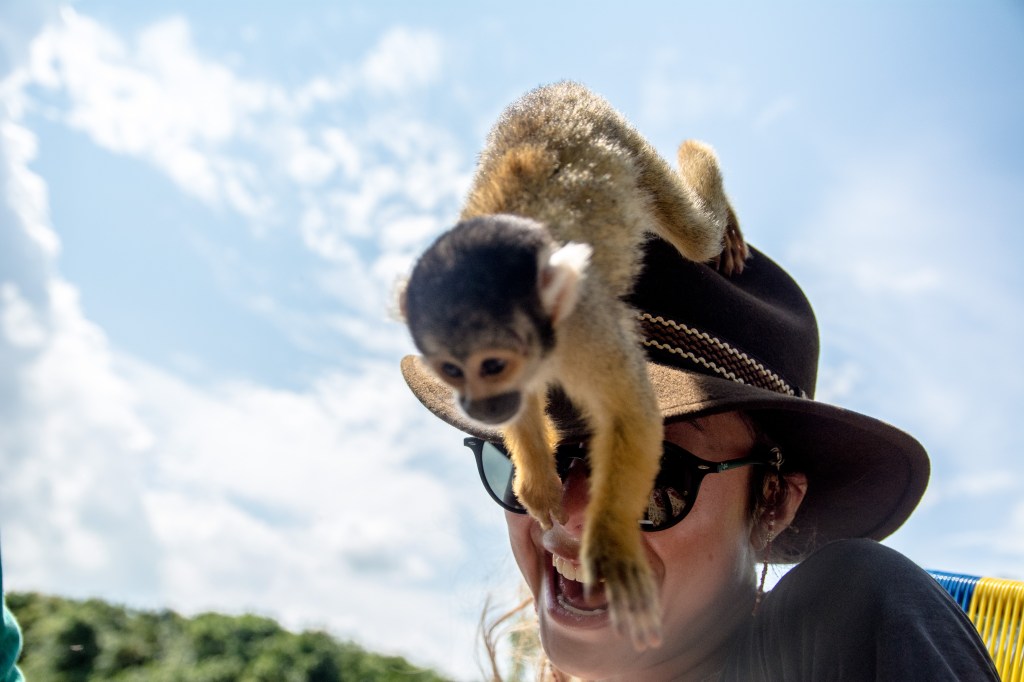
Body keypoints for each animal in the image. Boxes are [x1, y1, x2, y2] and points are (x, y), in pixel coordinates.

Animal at [398, 81, 746, 650]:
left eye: (491, 365)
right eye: (451, 370)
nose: (478, 405)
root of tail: (563, 91)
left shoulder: (581, 322)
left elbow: (631, 411)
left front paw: (611, 551)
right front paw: (539, 481)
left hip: (629, 147)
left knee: (696, 233)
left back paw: (710, 183)